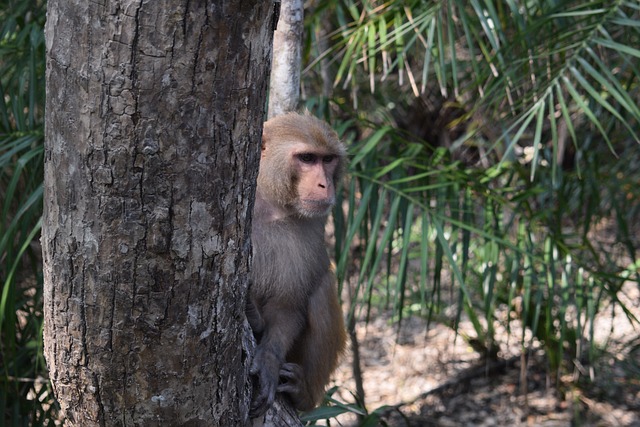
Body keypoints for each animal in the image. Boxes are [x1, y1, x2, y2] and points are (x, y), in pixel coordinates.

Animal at [248, 111, 348, 418]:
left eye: (327, 160)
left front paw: (269, 358)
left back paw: (304, 394)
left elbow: (290, 304)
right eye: (306, 158)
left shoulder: (314, 225)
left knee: (322, 288)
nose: (325, 185)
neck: (270, 205)